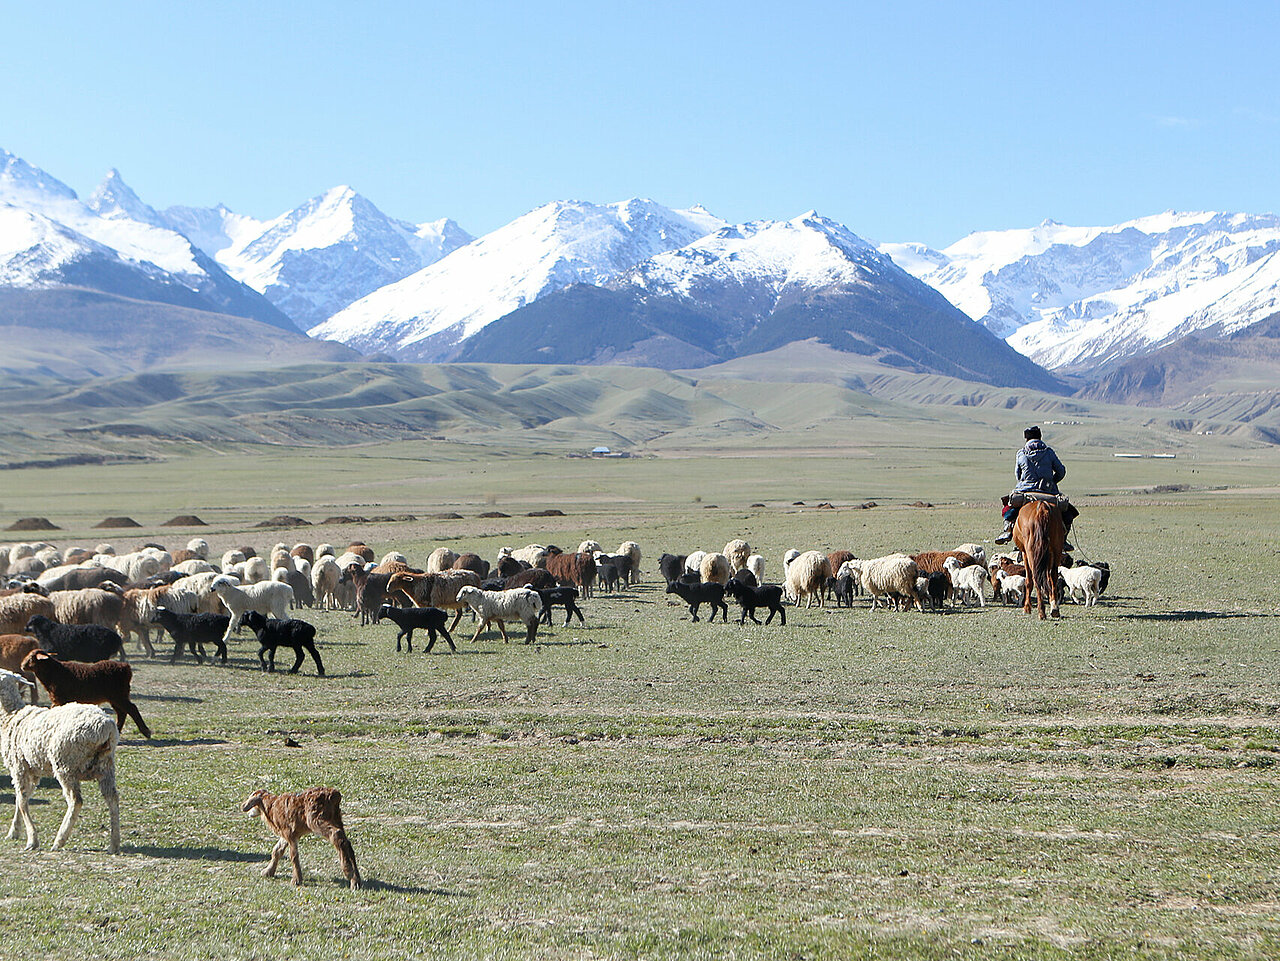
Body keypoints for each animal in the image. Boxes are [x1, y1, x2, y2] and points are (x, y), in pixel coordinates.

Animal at [0, 665, 120, 854]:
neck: (11, 714)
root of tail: (105, 728)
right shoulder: (33, 770)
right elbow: (22, 800)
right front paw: (14, 832)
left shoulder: (18, 767)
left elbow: (22, 801)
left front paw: (32, 840)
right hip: (106, 766)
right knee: (112, 798)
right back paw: (114, 843)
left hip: (65, 764)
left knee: (76, 801)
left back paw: (59, 840)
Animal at [21, 650, 151, 742]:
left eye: (31, 657)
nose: (22, 666)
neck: (53, 672)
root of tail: (125, 667)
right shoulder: (57, 700)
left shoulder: (61, 699)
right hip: (115, 697)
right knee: (122, 712)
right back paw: (118, 731)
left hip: (119, 695)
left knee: (131, 709)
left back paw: (146, 731)